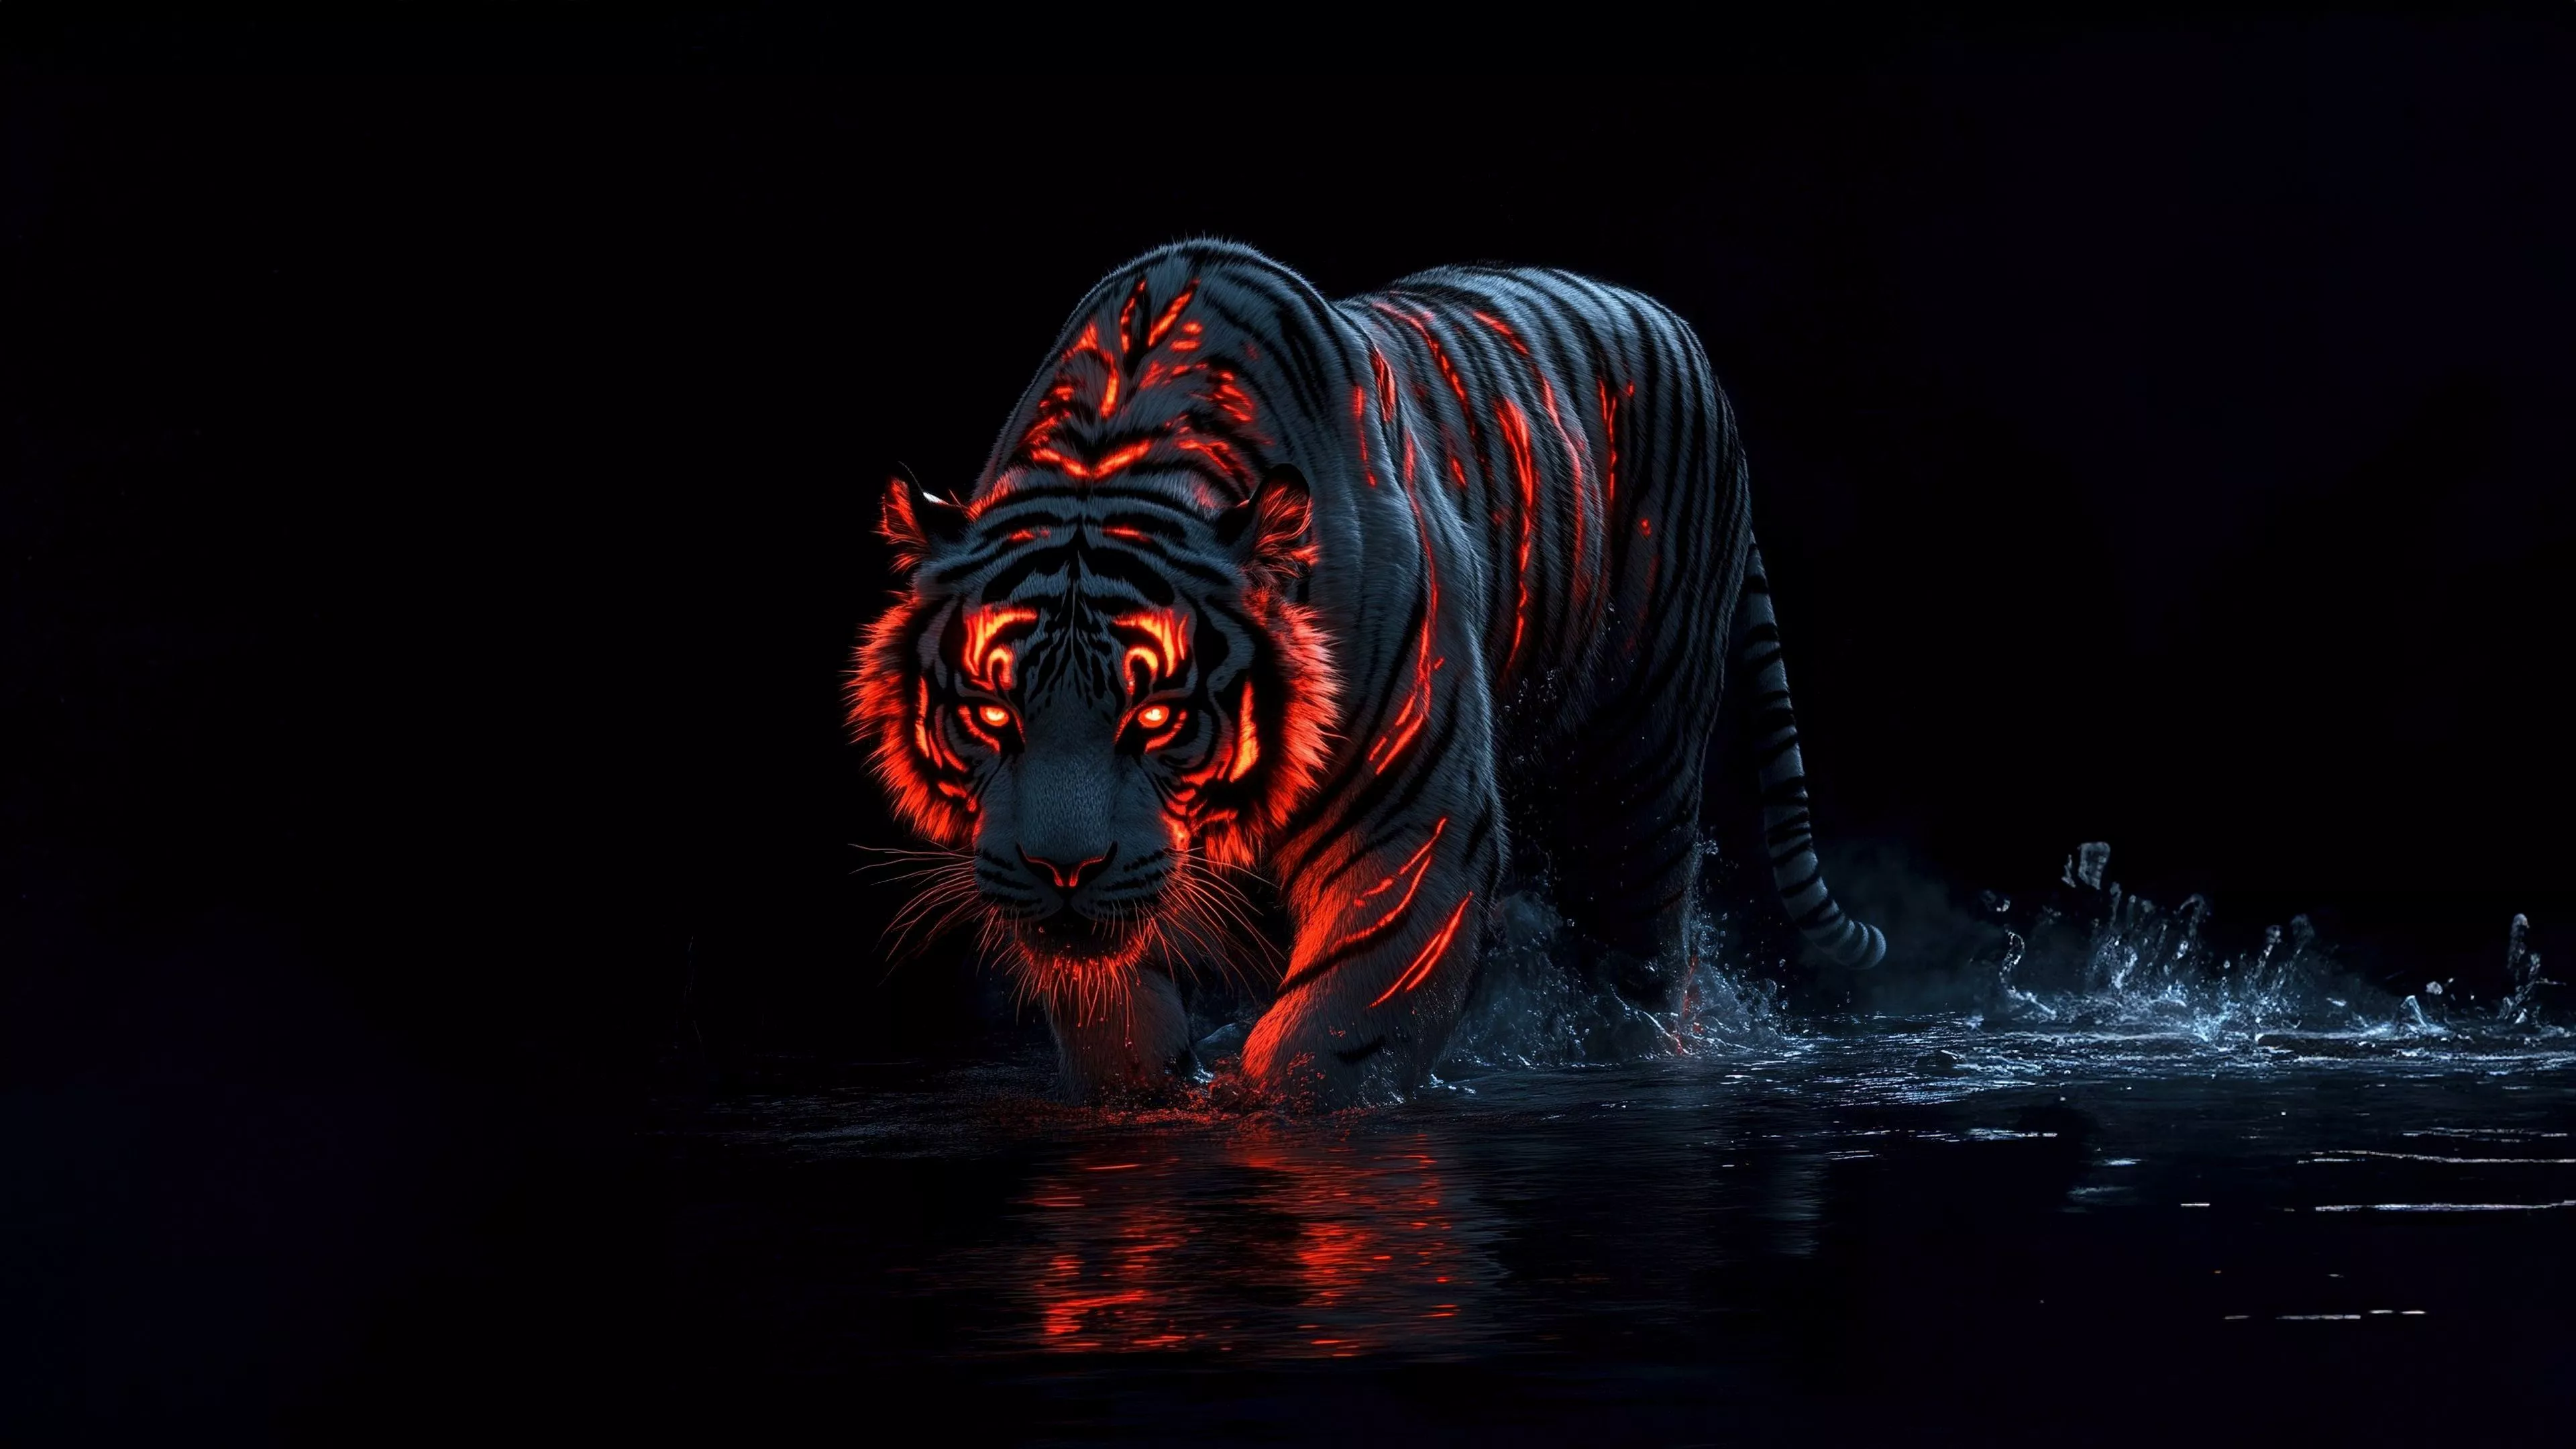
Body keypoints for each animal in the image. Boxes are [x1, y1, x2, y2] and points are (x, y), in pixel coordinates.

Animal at [852, 239, 1885, 1107]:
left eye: (1154, 719)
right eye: (993, 715)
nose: (1063, 870)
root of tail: (1676, 327)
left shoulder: (1414, 821)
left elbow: (1338, 1031)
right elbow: (1112, 1016)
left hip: (1640, 765)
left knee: (1639, 955)